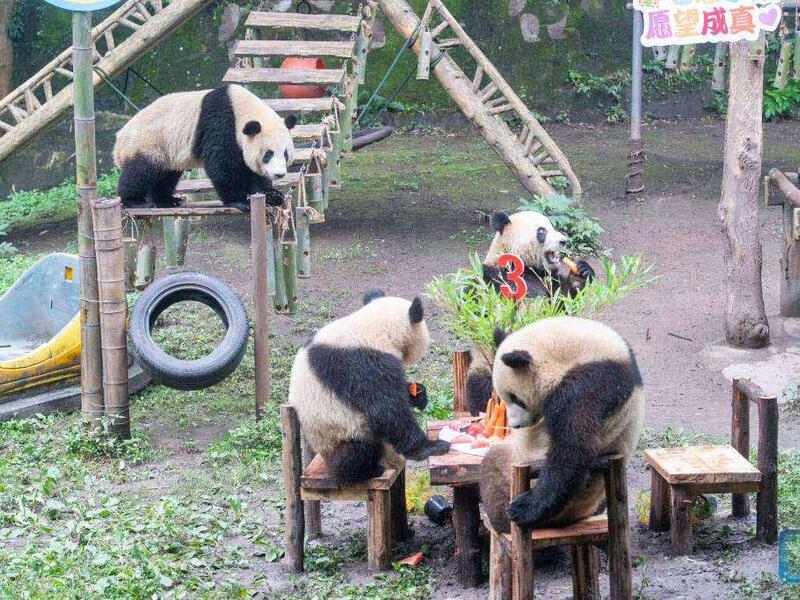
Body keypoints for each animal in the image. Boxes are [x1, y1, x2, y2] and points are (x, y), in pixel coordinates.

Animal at [113, 84, 296, 210]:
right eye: (268, 154)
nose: (279, 174)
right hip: (147, 142)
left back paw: (167, 200)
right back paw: (135, 201)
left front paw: (272, 195)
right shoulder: (221, 125)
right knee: (140, 171)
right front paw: (239, 201)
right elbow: (221, 164)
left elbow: (249, 169)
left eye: (285, 154)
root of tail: (119, 139)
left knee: (166, 175)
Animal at [289, 289, 450, 485]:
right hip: (339, 432)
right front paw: (431, 447)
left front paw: (418, 394)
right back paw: (365, 471)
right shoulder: (362, 365)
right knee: (358, 450)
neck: (373, 327)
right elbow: (386, 410)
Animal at [465, 210, 595, 416]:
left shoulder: (548, 281)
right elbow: (479, 311)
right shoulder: (492, 278)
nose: (564, 241)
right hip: (486, 366)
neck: (525, 267)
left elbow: (561, 307)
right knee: (482, 390)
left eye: (552, 226)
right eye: (542, 231)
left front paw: (579, 275)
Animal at [480, 316, 644, 534]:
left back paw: (501, 519)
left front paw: (524, 508)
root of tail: (580, 515)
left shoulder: (591, 382)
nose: (515, 425)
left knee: (493, 462)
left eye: (516, 398)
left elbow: (572, 447)